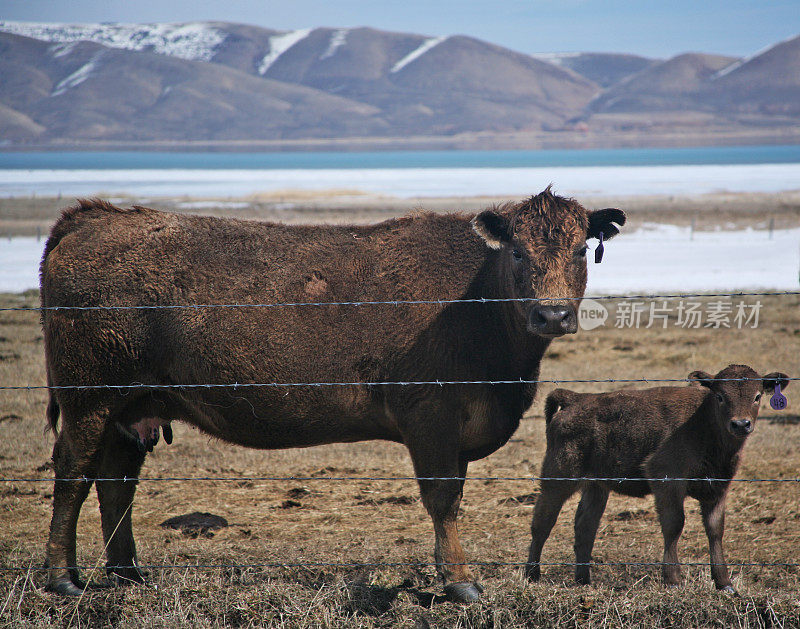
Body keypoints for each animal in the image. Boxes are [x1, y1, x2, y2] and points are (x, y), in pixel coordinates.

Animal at [39, 186, 624, 600]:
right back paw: (63, 578)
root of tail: (102, 215)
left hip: (131, 406)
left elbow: (452, 497)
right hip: (88, 397)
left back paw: (127, 575)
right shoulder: (430, 416)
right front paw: (461, 584)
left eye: (580, 249)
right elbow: (443, 498)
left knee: (116, 481)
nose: (553, 314)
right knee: (73, 471)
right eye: (519, 253)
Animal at [524, 364, 788, 592]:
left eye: (757, 396)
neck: (703, 422)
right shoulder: (667, 480)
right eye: (720, 396)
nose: (741, 424)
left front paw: (724, 584)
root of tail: (575, 399)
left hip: (596, 486)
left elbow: (715, 530)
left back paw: (583, 580)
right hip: (558, 478)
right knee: (542, 523)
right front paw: (673, 580)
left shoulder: (717, 488)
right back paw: (532, 575)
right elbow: (674, 525)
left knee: (585, 528)